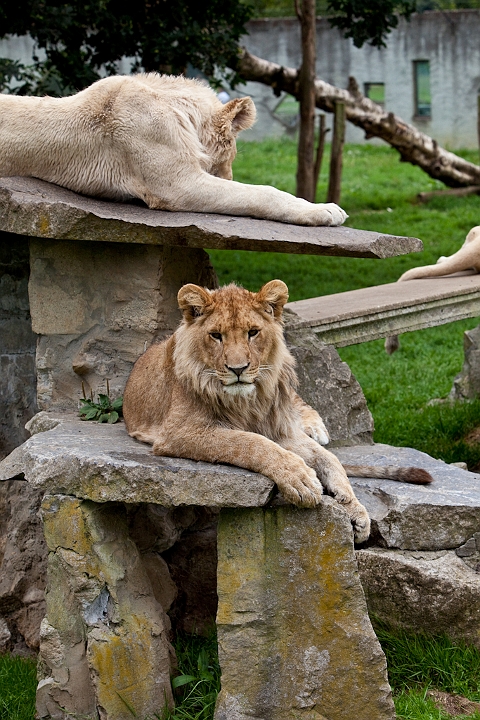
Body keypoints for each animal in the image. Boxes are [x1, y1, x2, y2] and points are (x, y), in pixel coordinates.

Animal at [123, 280, 433, 543]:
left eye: (253, 332)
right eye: (216, 336)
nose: (238, 369)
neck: (247, 401)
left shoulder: (281, 429)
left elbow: (330, 459)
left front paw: (354, 507)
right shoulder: (179, 431)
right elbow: (250, 442)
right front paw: (300, 478)